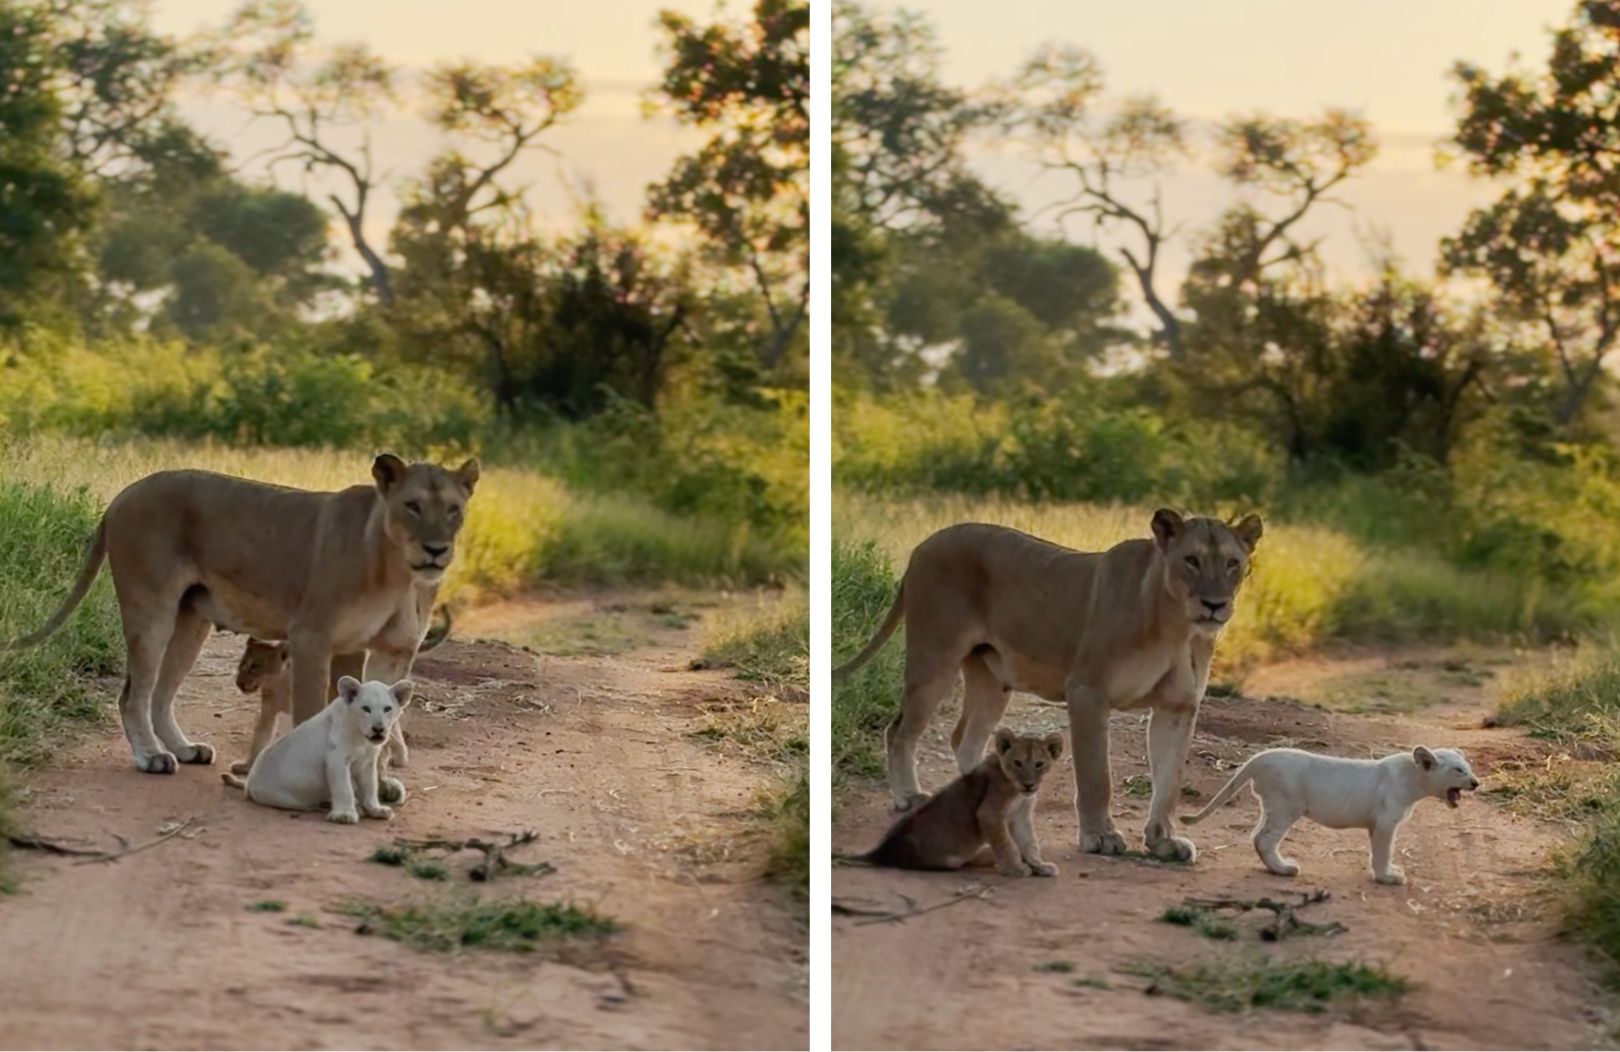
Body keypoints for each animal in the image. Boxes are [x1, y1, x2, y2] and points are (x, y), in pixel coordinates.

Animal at [222, 676, 412, 823]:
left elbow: (370, 786)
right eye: (366, 708)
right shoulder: (336, 759)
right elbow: (344, 787)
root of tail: (248, 783)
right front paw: (345, 815)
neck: (361, 738)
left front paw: (376, 810)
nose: (378, 729)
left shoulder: (367, 762)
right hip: (289, 799)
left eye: (387, 709)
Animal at [229, 605, 452, 776]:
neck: (279, 684)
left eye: (255, 666)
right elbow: (260, 736)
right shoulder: (268, 709)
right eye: (241, 664)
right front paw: (247, 766)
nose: (239, 683)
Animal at [854, 727, 1065, 877]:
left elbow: (1029, 841)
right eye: (1017, 763)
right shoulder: (990, 813)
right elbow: (1006, 844)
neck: (1017, 791)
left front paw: (1039, 865)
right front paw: (1016, 868)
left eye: (1039, 764)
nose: (1028, 785)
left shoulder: (1021, 815)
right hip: (947, 860)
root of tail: (881, 851)